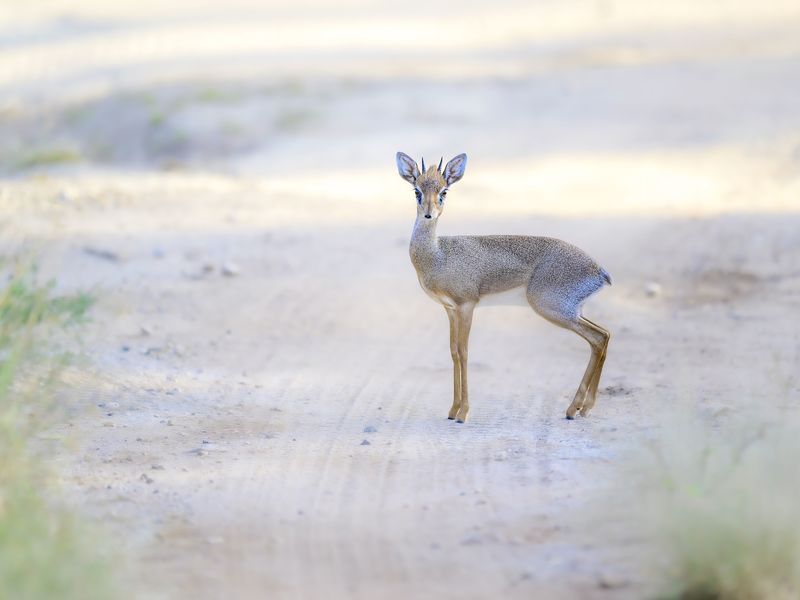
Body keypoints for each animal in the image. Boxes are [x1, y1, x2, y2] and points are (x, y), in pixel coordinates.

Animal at [396, 152, 611, 423]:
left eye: (444, 191)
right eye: (417, 190)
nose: (428, 214)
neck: (438, 255)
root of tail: (600, 271)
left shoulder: (467, 305)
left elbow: (464, 352)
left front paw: (463, 413)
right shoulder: (450, 309)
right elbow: (454, 352)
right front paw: (452, 410)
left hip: (554, 310)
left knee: (598, 337)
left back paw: (575, 409)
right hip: (572, 311)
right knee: (603, 336)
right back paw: (582, 408)